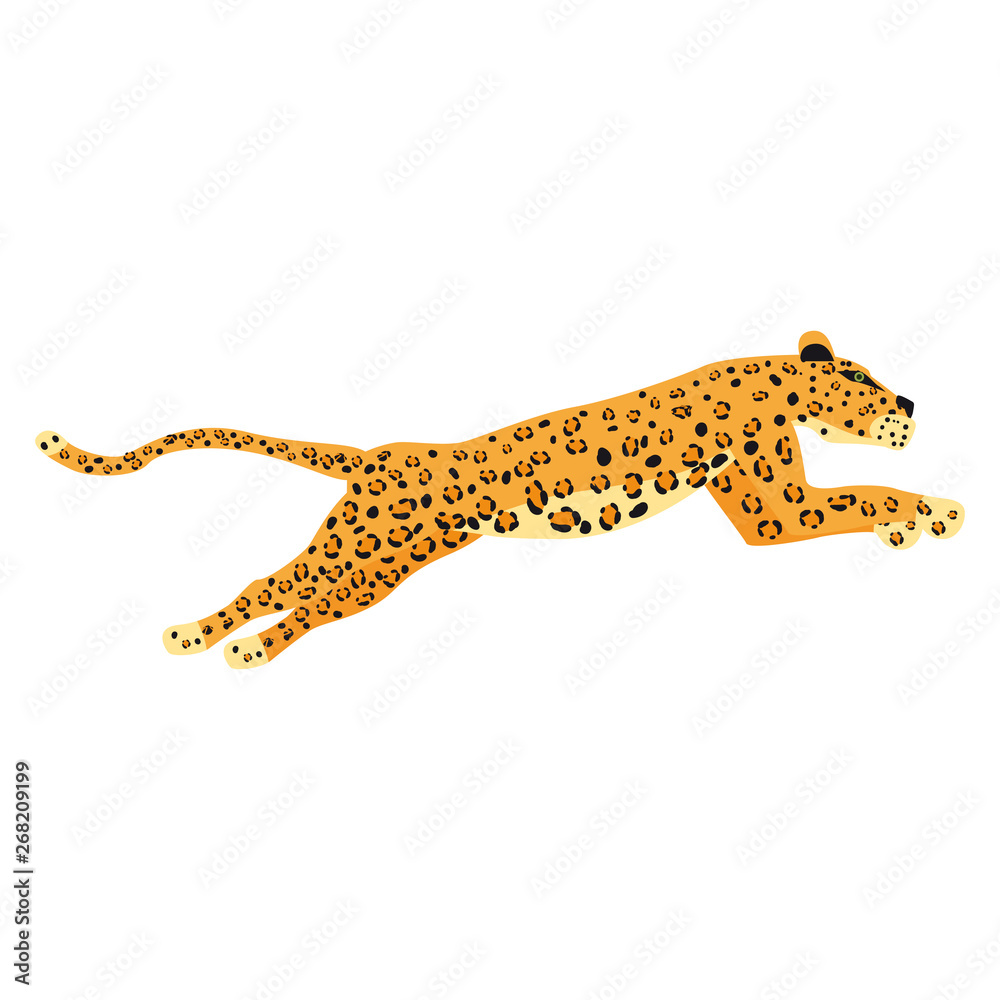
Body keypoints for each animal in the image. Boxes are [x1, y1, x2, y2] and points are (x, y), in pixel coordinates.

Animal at [35, 332, 964, 668]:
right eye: (869, 381)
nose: (914, 403)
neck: (773, 379)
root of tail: (375, 455)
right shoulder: (773, 506)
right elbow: (865, 492)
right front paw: (936, 513)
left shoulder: (769, 501)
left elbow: (859, 497)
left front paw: (917, 524)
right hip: (378, 563)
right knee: (306, 605)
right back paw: (245, 650)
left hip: (350, 545)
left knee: (271, 584)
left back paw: (194, 636)